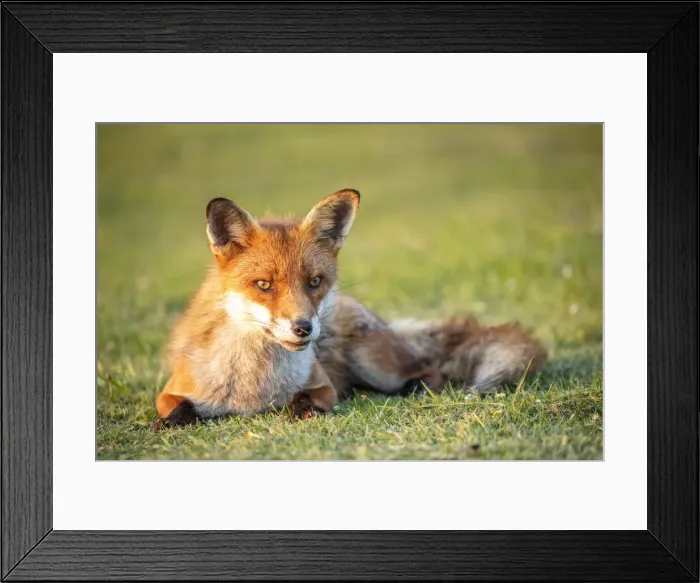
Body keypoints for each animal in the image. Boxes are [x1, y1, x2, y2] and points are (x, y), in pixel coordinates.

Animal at [154, 188, 547, 428]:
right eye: (264, 285)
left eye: (315, 281)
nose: (304, 328)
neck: (255, 386)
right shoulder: (172, 389)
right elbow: (175, 406)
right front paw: (170, 423)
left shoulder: (323, 384)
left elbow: (309, 398)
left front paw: (302, 411)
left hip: (375, 364)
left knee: (429, 370)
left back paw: (415, 387)